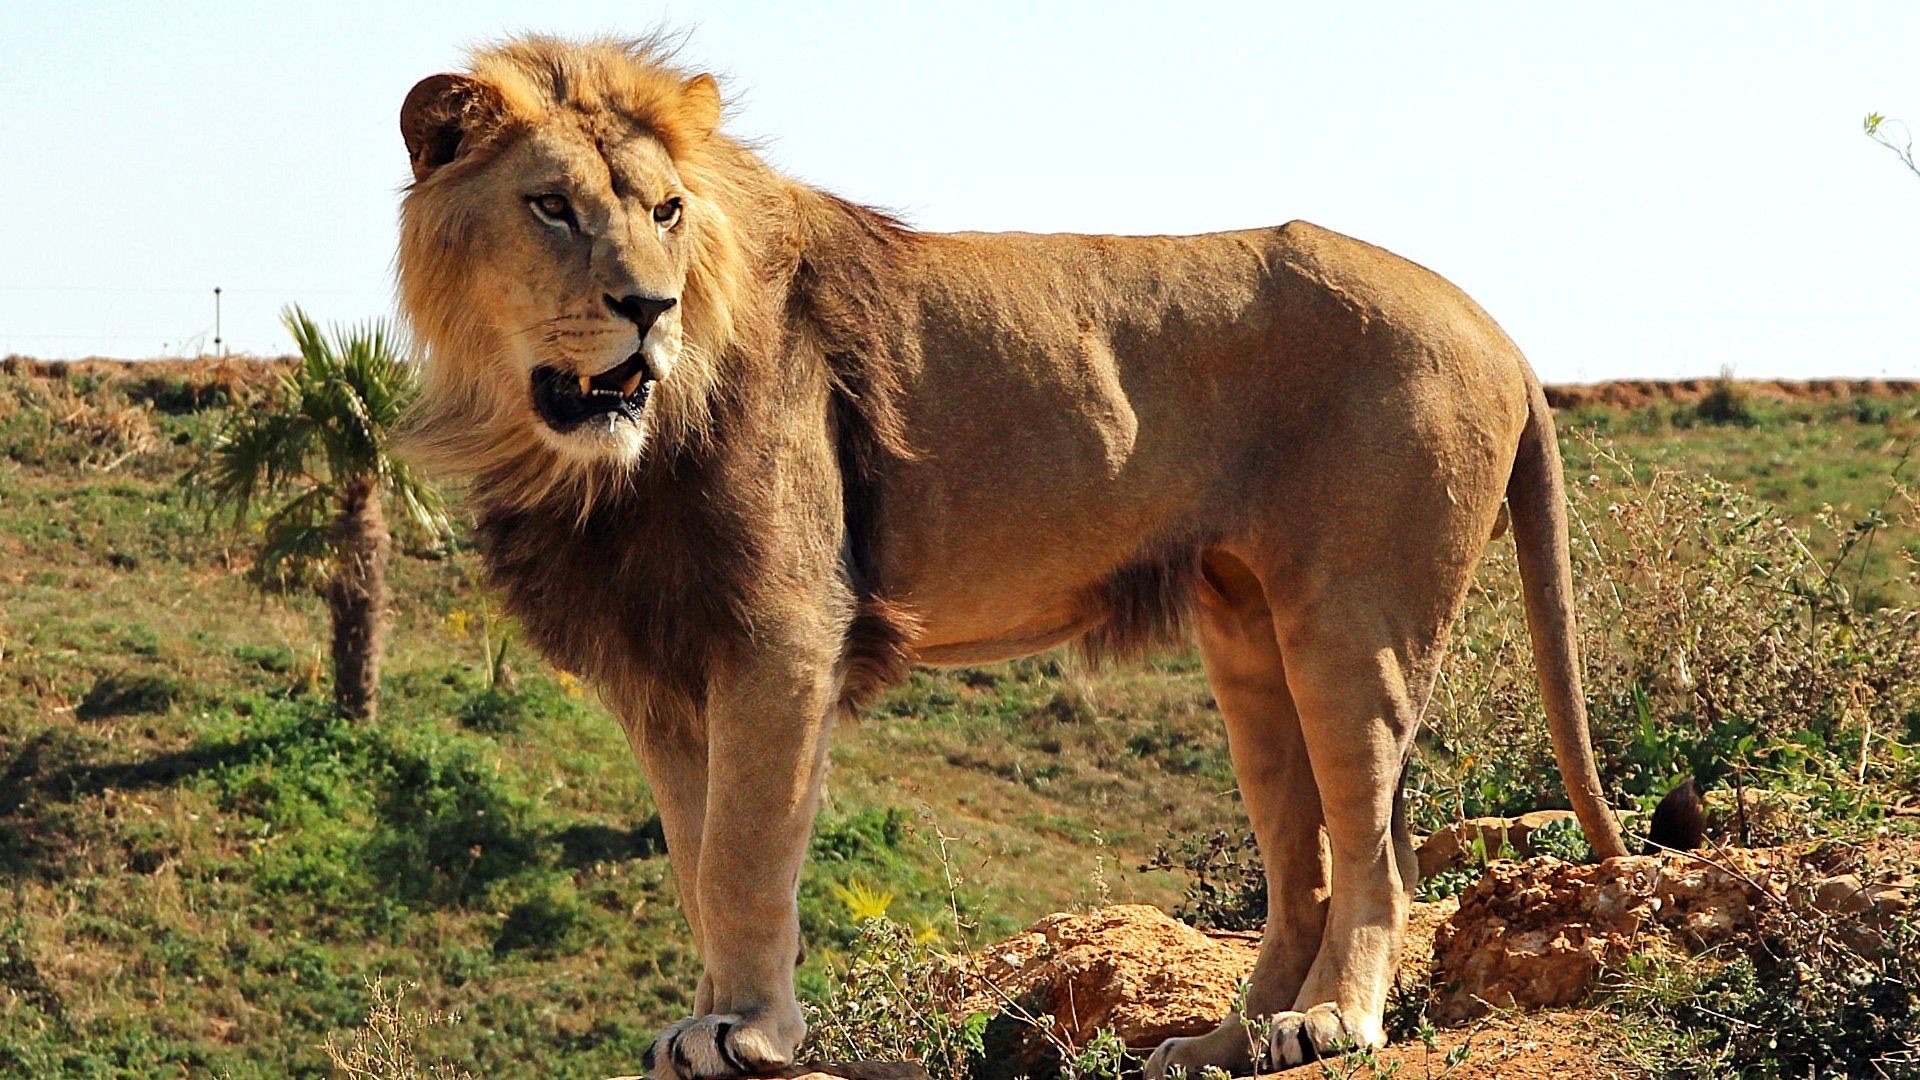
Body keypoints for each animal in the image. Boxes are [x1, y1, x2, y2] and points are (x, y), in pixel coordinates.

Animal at [395, 35, 1629, 1078]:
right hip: (1248, 634)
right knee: (1307, 862)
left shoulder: (781, 635)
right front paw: (703, 1021)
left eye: (666, 210)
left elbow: (743, 856)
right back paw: (1228, 1042)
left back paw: (1330, 1022)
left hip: (1356, 625)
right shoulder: (657, 667)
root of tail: (1498, 330)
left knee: (1379, 853)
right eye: (551, 207)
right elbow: (699, 865)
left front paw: (745, 1032)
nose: (648, 308)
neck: (585, 452)